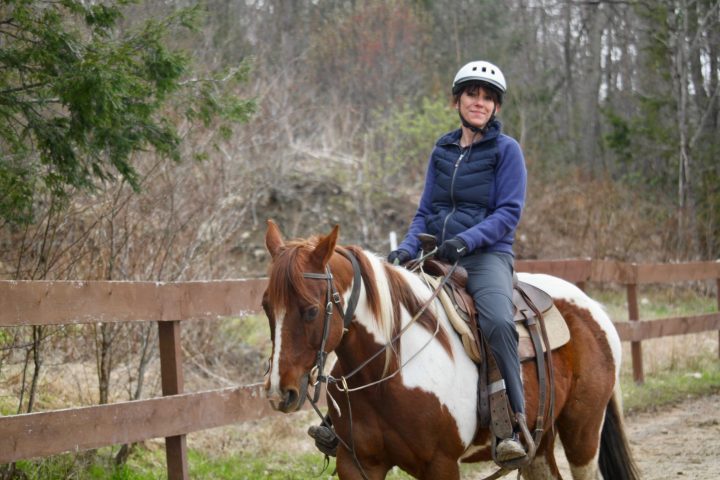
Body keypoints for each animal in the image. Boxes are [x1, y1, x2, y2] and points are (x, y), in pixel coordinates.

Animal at [262, 220, 639, 480]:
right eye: (267, 306)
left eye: (311, 310)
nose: (280, 392)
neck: (390, 370)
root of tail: (593, 308)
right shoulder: (357, 464)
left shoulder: (440, 465)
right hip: (541, 441)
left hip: (583, 433)